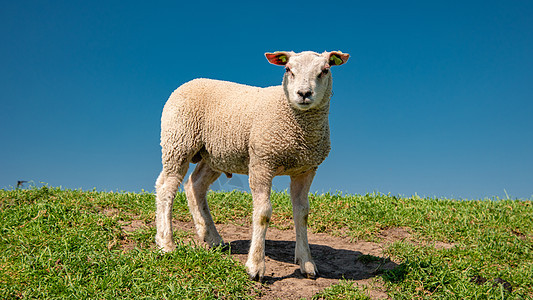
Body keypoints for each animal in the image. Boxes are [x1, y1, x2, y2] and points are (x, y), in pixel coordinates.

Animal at [155, 49, 350, 282]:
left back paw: (211, 237)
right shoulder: (261, 163)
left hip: (215, 154)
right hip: (178, 142)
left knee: (195, 185)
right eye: (288, 69)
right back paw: (166, 244)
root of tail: (191, 82)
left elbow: (302, 213)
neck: (299, 128)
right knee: (166, 189)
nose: (304, 93)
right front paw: (255, 266)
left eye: (325, 70)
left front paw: (307, 263)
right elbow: (263, 213)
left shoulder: (306, 169)